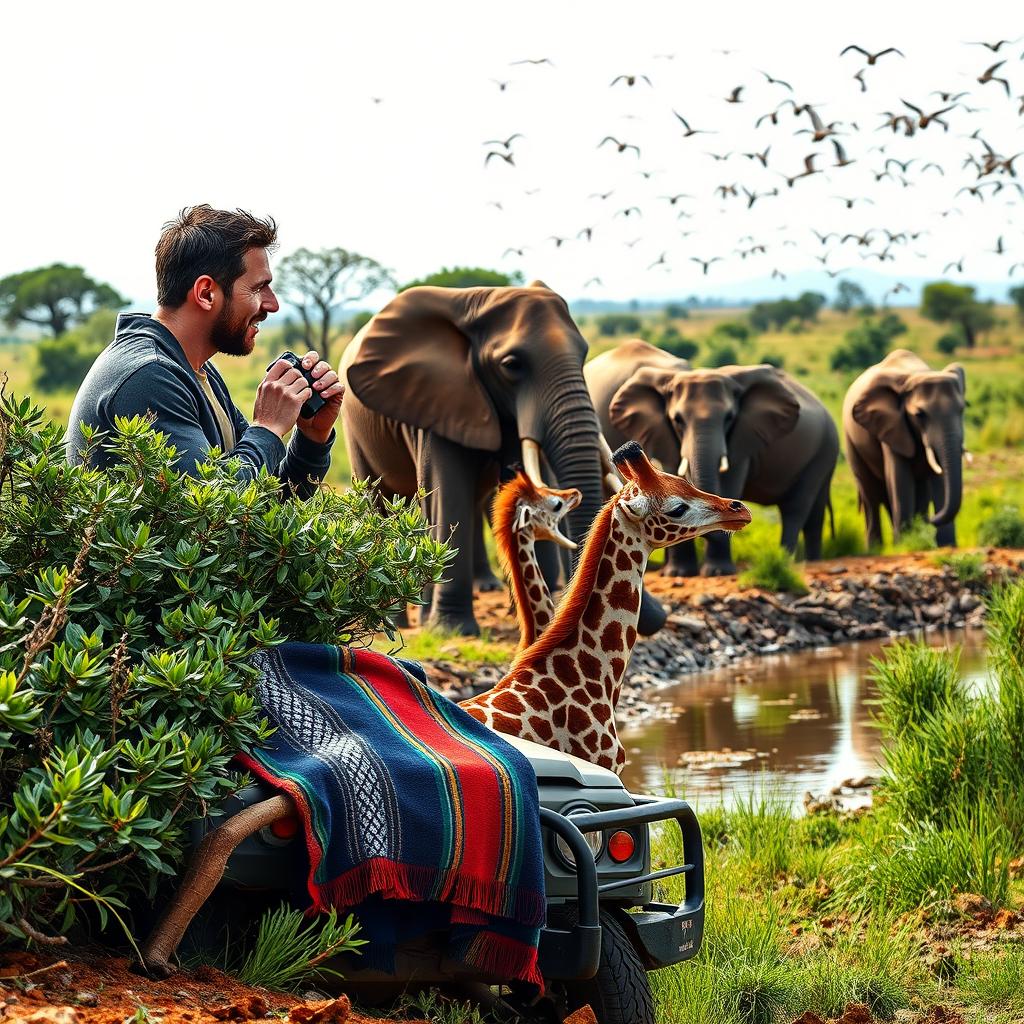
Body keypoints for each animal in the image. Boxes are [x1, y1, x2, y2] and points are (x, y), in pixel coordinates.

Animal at [589, 337, 835, 573]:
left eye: (729, 418)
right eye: (678, 420)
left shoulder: (742, 435)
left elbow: (729, 480)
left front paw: (717, 572)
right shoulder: (662, 431)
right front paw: (679, 574)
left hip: (824, 450)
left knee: (797, 507)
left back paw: (791, 561)